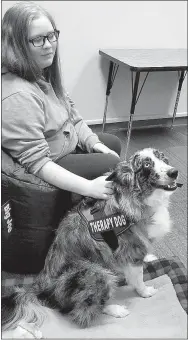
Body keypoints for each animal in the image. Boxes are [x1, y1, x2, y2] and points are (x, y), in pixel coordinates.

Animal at [1, 147, 182, 336]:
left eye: (163, 158)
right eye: (146, 165)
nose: (174, 172)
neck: (136, 195)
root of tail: (41, 286)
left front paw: (149, 257)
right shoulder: (130, 250)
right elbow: (138, 278)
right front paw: (145, 292)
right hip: (97, 273)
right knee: (80, 310)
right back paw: (115, 309)